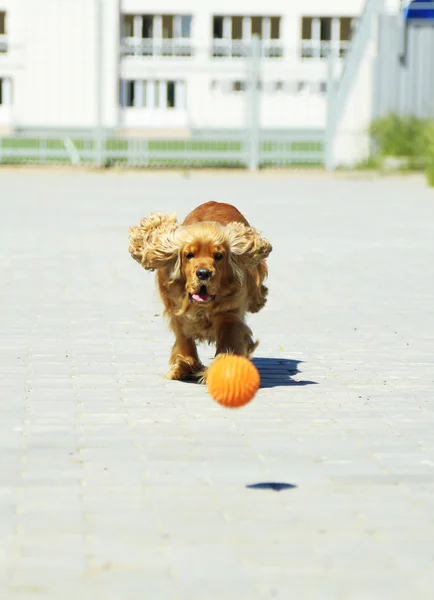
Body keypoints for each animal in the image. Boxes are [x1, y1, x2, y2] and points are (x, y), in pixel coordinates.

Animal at [128, 202, 272, 380]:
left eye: (218, 256)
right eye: (189, 255)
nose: (203, 273)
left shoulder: (229, 314)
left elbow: (228, 341)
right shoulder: (177, 313)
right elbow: (184, 339)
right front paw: (184, 366)